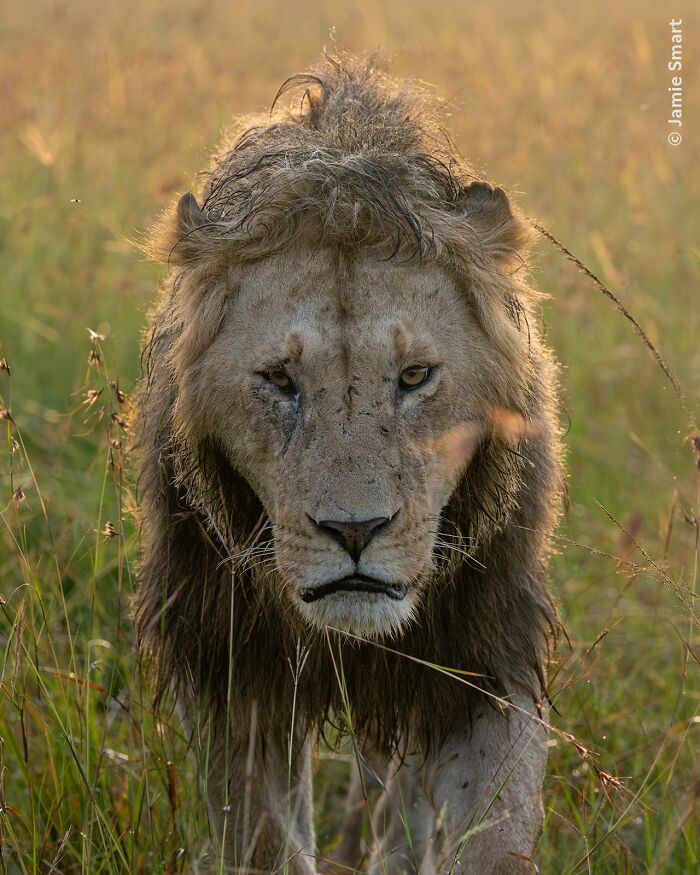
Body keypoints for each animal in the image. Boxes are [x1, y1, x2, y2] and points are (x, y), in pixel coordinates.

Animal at [134, 54, 563, 874]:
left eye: (415, 377)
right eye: (279, 380)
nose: (356, 531)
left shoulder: (485, 652)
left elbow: (495, 830)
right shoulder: (233, 670)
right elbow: (263, 838)